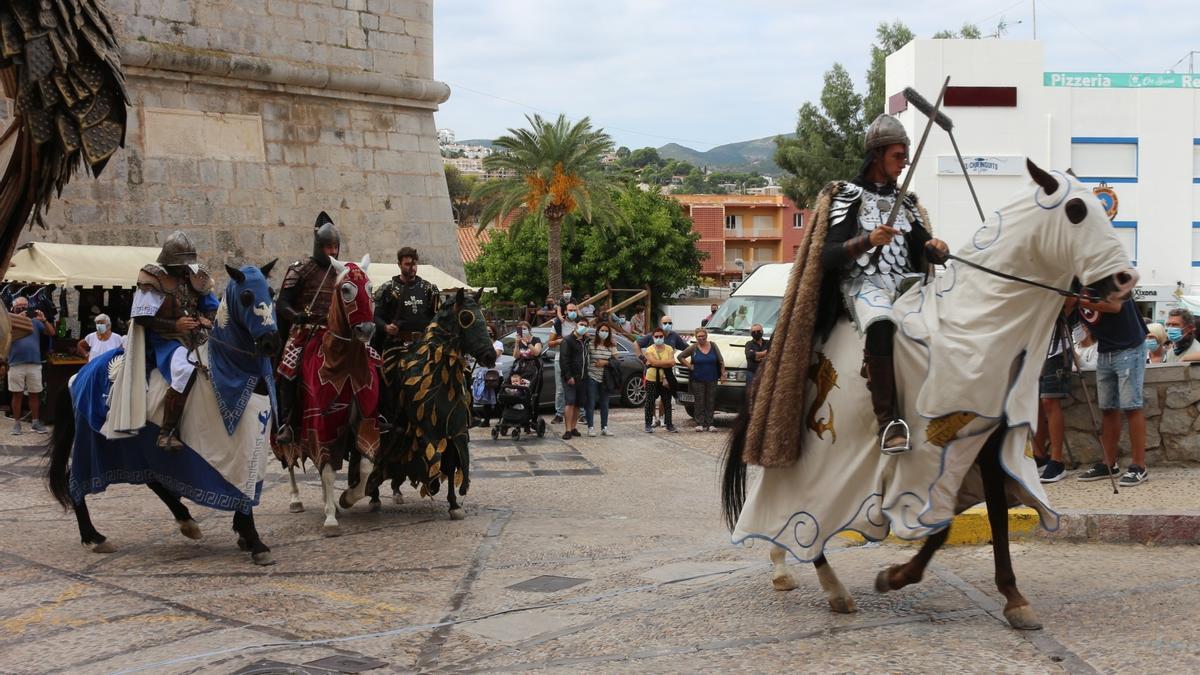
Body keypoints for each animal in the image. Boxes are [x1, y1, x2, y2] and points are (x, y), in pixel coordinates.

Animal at [720, 159, 1132, 629]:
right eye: (1077, 211)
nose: (1125, 281)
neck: (970, 326)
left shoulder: (985, 442)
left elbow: (994, 515)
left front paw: (1012, 596)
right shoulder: (931, 457)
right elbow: (940, 522)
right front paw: (895, 576)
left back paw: (787, 566)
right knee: (796, 510)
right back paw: (831, 586)